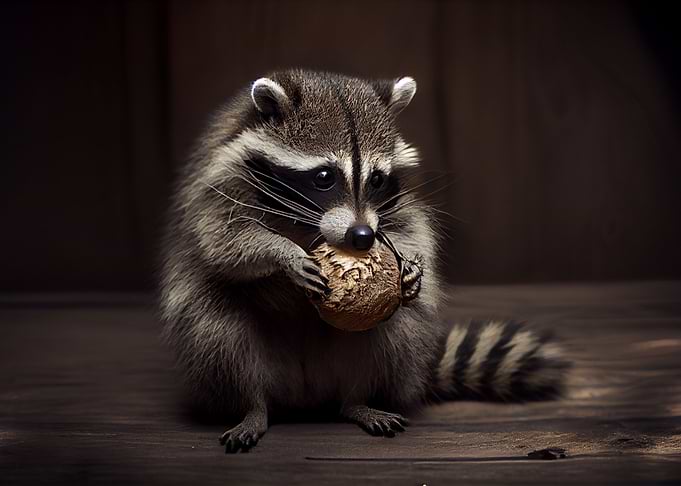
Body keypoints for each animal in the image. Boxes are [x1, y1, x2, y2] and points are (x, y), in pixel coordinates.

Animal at [160, 70, 569, 453]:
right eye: (324, 177)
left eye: (376, 179)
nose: (362, 237)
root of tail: (305, 394)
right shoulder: (220, 178)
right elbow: (223, 240)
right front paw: (282, 252)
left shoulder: (392, 206)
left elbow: (409, 228)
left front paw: (411, 268)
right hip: (228, 338)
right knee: (218, 331)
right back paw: (253, 406)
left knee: (397, 330)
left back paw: (358, 400)